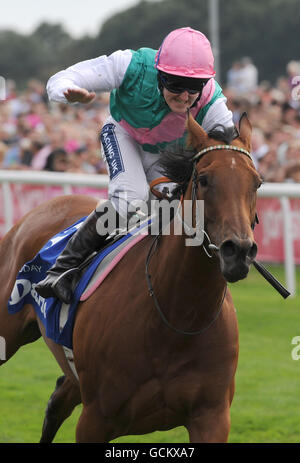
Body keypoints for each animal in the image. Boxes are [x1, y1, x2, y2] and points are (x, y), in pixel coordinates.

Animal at [0, 112, 262, 442]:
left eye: (257, 182)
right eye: (204, 179)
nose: (238, 251)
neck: (177, 317)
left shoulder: (211, 417)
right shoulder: (95, 420)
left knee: (58, 401)